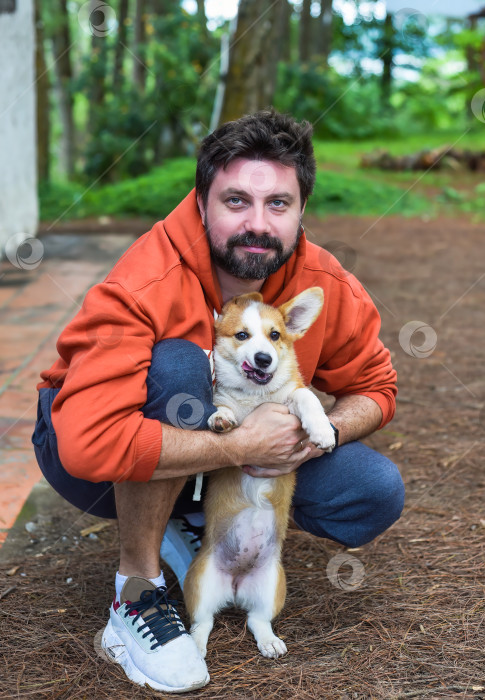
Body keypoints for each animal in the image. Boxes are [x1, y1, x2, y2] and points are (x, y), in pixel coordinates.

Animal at [183, 288, 334, 660]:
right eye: (242, 335)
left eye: (275, 335)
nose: (264, 359)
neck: (256, 396)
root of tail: (237, 583)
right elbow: (222, 407)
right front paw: (221, 418)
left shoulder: (292, 399)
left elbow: (305, 395)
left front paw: (322, 430)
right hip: (201, 583)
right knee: (203, 622)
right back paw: (195, 648)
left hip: (272, 585)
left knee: (257, 620)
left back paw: (270, 642)